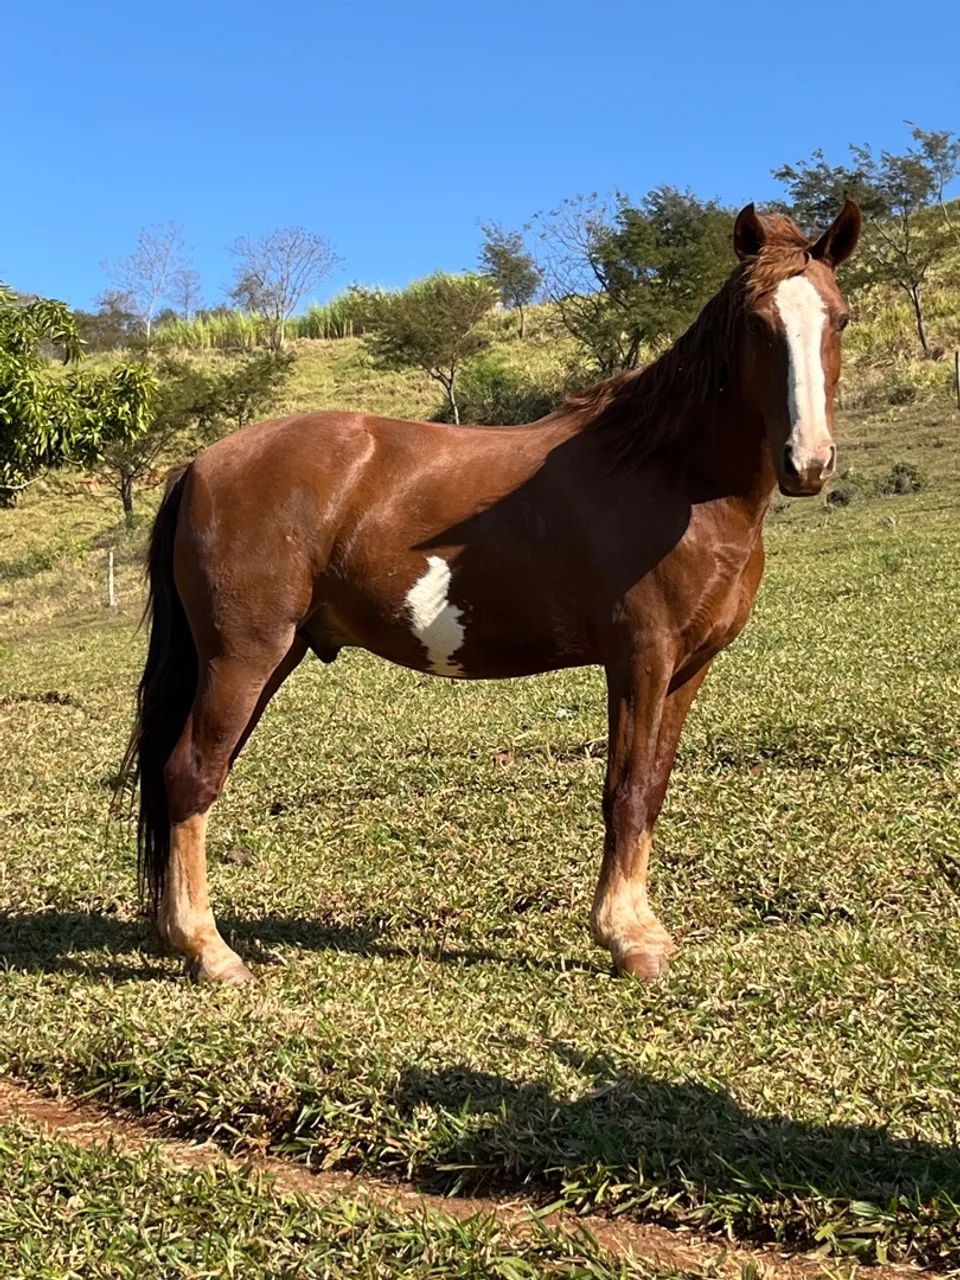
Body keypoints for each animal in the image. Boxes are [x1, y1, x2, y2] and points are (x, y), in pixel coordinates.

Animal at [120, 200, 861, 985]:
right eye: (757, 323)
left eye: (839, 319)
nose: (808, 462)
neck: (673, 476)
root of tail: (201, 464)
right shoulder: (640, 660)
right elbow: (624, 790)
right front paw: (625, 938)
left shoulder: (688, 667)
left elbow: (653, 785)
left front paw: (642, 928)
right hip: (242, 657)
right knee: (192, 775)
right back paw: (209, 950)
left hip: (266, 658)